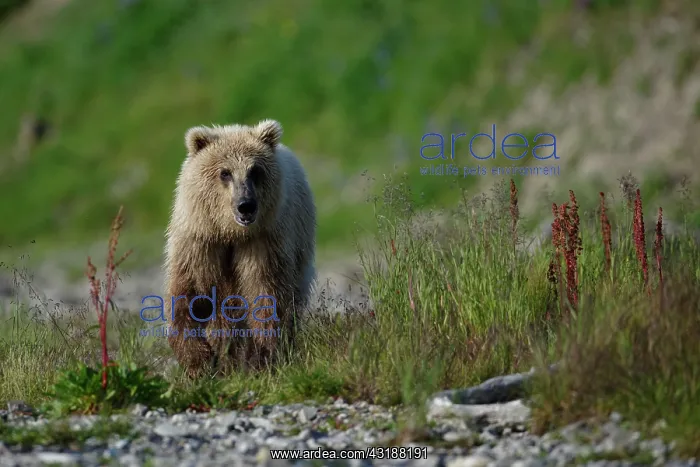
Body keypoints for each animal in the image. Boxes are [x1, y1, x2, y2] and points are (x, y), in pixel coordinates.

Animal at [163, 119, 316, 378]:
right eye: (225, 172)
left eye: (255, 171)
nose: (246, 205)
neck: (230, 232)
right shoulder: (201, 241)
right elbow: (189, 293)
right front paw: (198, 359)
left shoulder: (263, 242)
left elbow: (265, 292)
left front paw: (262, 357)